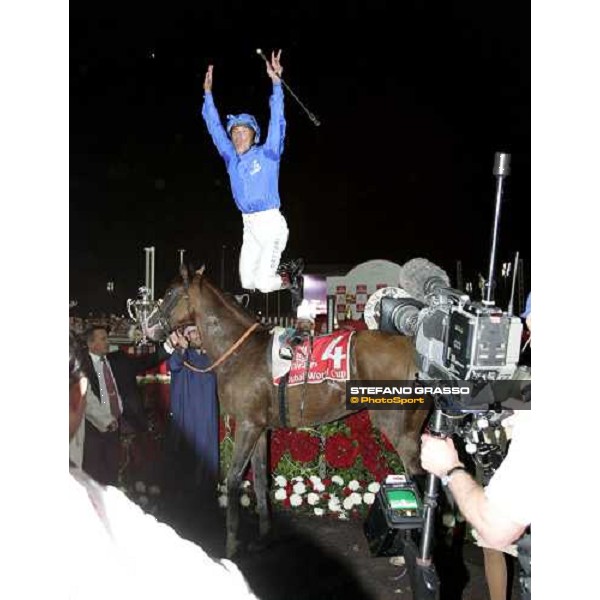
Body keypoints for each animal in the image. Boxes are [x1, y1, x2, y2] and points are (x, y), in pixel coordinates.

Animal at [147, 268, 428, 556]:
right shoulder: (259, 428)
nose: (148, 326)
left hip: (398, 428)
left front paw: (231, 547)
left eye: (170, 293)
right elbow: (260, 481)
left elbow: (234, 479)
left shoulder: (246, 425)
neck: (241, 352)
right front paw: (263, 537)